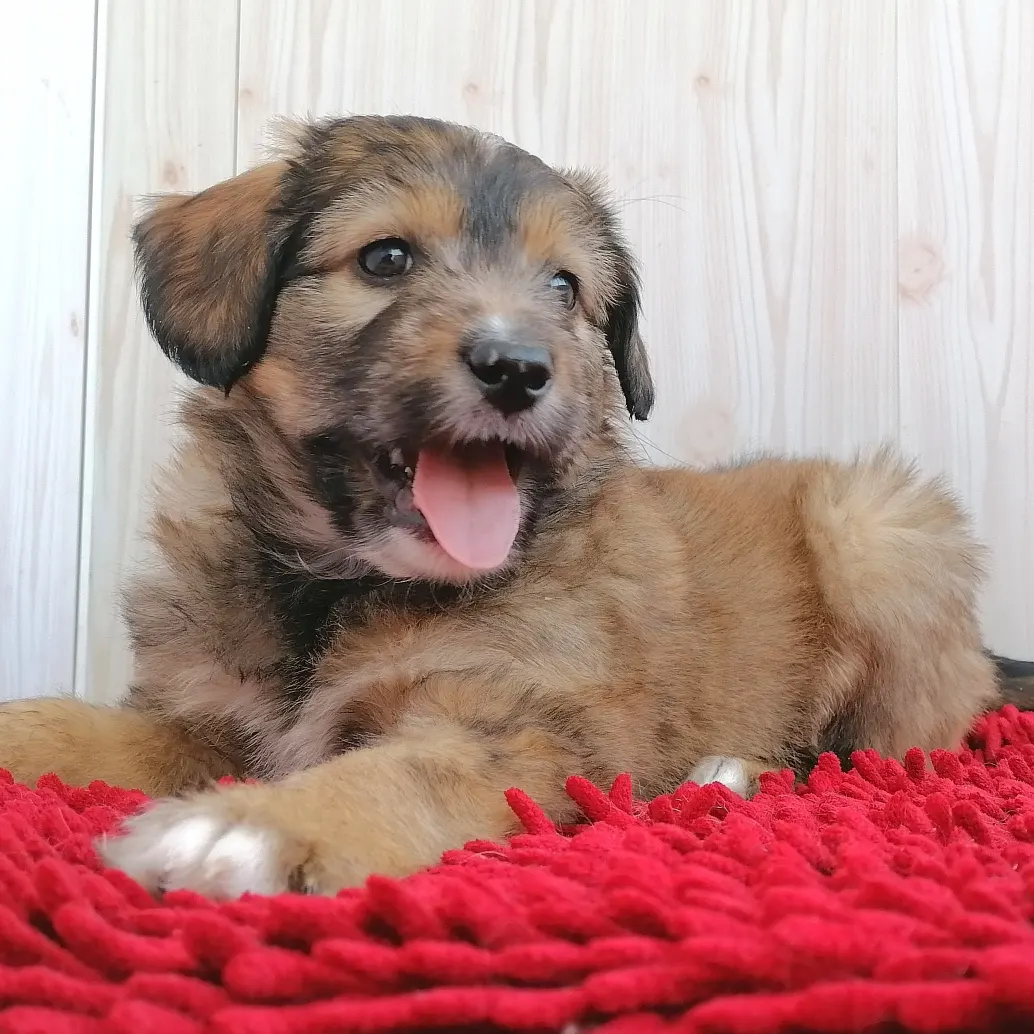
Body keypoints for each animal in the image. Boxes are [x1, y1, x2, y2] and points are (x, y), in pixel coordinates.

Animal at [0, 115, 1030, 898]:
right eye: (385, 257)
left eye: (565, 288)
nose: (518, 368)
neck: (335, 586)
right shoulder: (196, 719)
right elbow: (67, 725)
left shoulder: (520, 733)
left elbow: (401, 773)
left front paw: (257, 827)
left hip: (877, 536)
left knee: (863, 758)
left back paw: (728, 772)